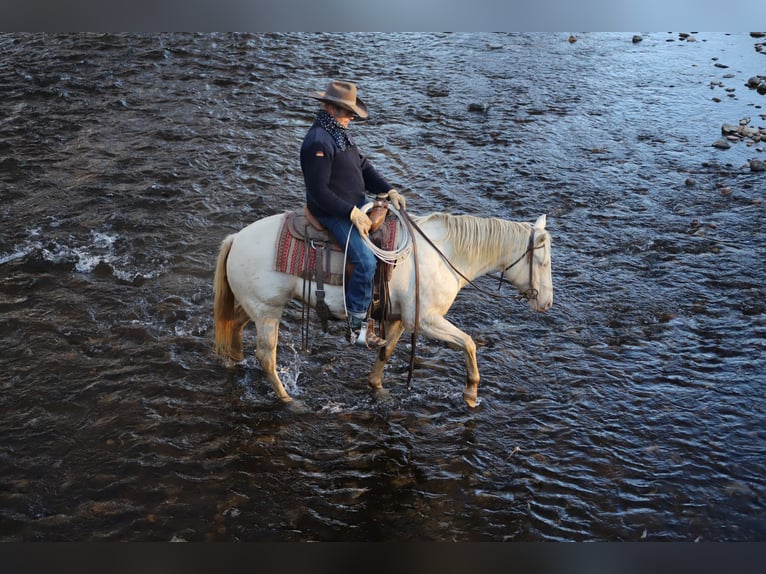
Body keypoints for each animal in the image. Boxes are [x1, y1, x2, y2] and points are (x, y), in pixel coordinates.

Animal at [213, 212, 556, 410]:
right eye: (542, 261)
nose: (546, 303)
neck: (443, 254)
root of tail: (236, 238)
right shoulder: (427, 320)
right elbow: (469, 343)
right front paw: (471, 392)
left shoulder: (401, 318)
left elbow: (386, 350)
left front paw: (377, 388)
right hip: (268, 311)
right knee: (266, 357)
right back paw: (288, 400)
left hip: (257, 308)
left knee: (234, 325)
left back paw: (233, 361)